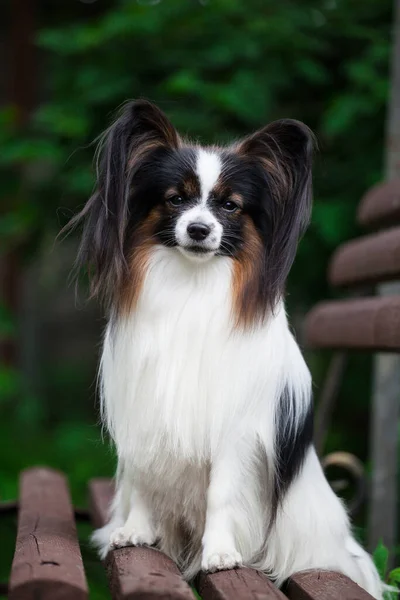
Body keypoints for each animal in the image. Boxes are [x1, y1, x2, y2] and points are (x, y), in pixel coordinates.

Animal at [73, 101, 382, 596]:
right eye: (175, 199)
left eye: (230, 205)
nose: (199, 229)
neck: (192, 285)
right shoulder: (144, 411)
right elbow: (144, 479)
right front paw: (136, 531)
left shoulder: (235, 429)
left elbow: (221, 493)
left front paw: (219, 554)